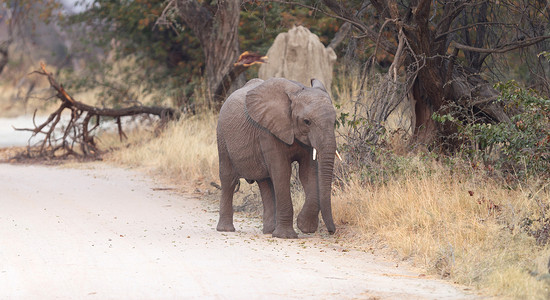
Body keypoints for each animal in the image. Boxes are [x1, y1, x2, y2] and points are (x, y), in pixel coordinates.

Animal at [217, 77, 338, 239]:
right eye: (307, 122)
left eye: (335, 121)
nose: (332, 231)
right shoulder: (268, 132)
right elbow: (282, 172)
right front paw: (286, 236)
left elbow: (307, 173)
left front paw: (305, 227)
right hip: (222, 136)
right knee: (228, 179)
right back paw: (226, 229)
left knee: (265, 182)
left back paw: (269, 231)